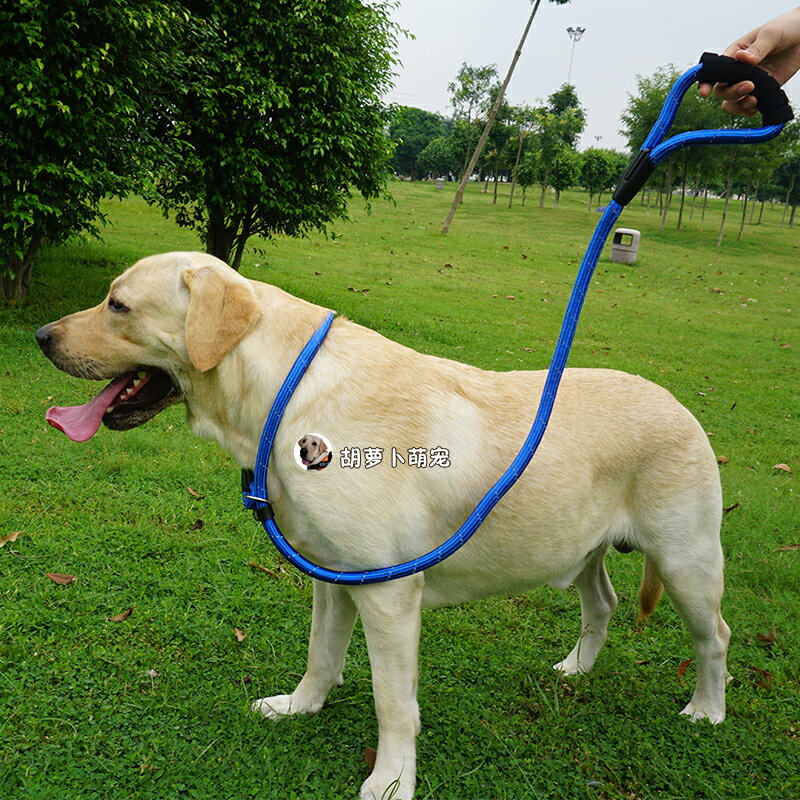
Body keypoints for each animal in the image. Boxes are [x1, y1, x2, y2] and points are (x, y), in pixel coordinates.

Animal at [36, 252, 732, 800]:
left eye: (118, 305)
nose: (42, 334)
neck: (287, 397)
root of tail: (680, 405)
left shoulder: (388, 591)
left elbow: (393, 703)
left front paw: (393, 779)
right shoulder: (332, 573)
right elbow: (320, 654)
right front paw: (300, 706)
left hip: (688, 563)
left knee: (715, 637)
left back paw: (707, 709)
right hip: (580, 550)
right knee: (603, 602)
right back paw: (578, 668)